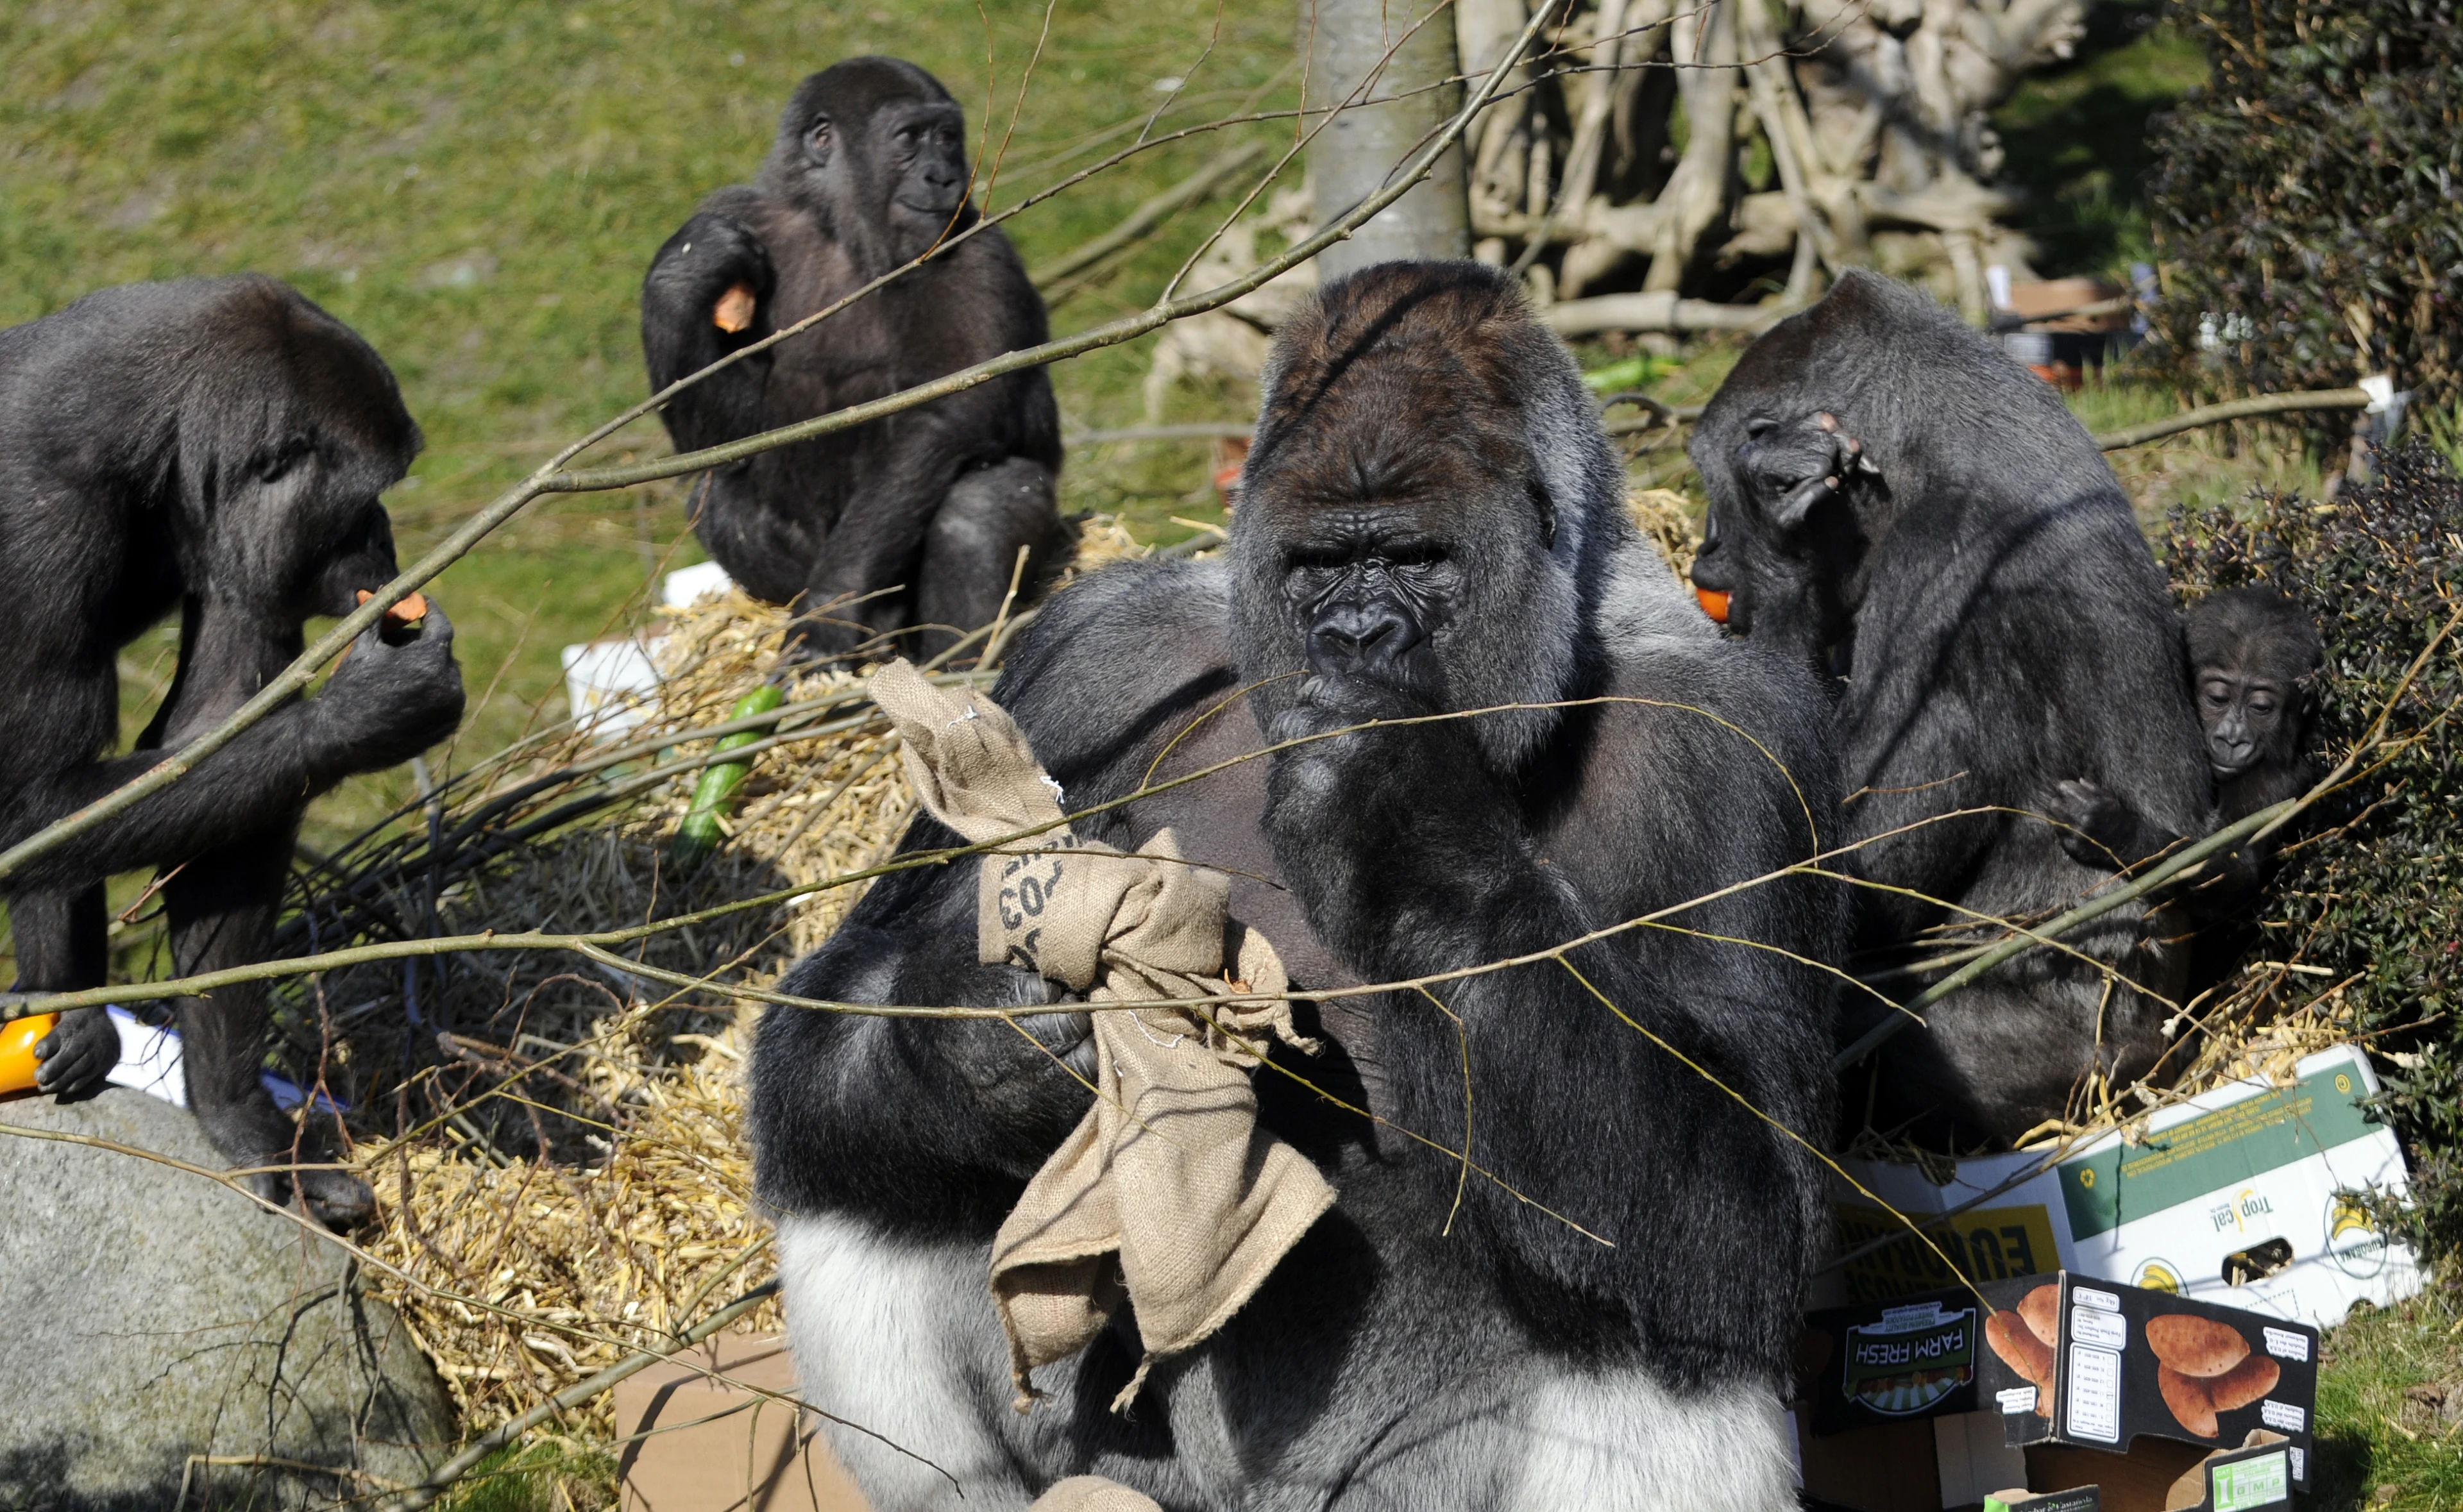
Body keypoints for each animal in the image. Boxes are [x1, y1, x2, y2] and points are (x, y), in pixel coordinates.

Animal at [0, 275, 465, 1225]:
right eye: (364, 498)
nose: (386, 542)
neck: (158, 434)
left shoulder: (236, 532)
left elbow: (222, 761)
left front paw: (233, 1110)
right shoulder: (41, 522)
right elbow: (39, 801)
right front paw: (366, 714)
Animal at [641, 56, 1067, 664]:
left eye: (948, 138)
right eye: (909, 139)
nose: (943, 176)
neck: (838, 226)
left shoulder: (976, 250)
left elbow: (946, 413)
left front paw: (830, 607)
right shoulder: (740, 214)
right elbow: (726, 440)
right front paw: (683, 276)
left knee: (982, 503)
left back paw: (962, 668)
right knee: (714, 492)